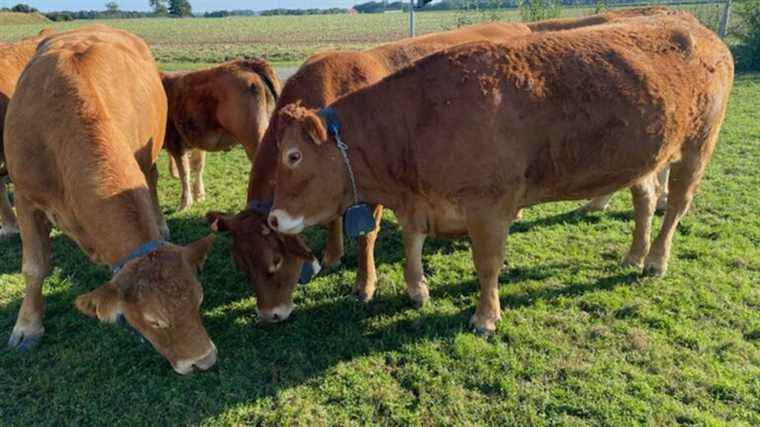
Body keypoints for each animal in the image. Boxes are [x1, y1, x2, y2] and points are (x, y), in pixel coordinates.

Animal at [162, 60, 280, 212]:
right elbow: (198, 166)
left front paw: (185, 203)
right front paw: (199, 196)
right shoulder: (196, 141)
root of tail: (247, 63)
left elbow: (185, 172)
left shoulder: (176, 144)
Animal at [205, 19, 532, 320]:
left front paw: (364, 285)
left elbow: (366, 236)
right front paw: (332, 255)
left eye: (275, 261)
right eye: (241, 266)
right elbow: (331, 220)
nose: (270, 314)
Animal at [268, 15, 736, 334]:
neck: (416, 121)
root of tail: (696, 27)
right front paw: (417, 288)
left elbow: (487, 262)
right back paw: (635, 254)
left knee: (675, 206)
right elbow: (412, 240)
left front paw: (485, 316)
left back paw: (655, 261)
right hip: (647, 156)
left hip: (698, 145)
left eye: (293, 156)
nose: (272, 217)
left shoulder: (489, 206)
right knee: (645, 199)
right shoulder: (418, 200)